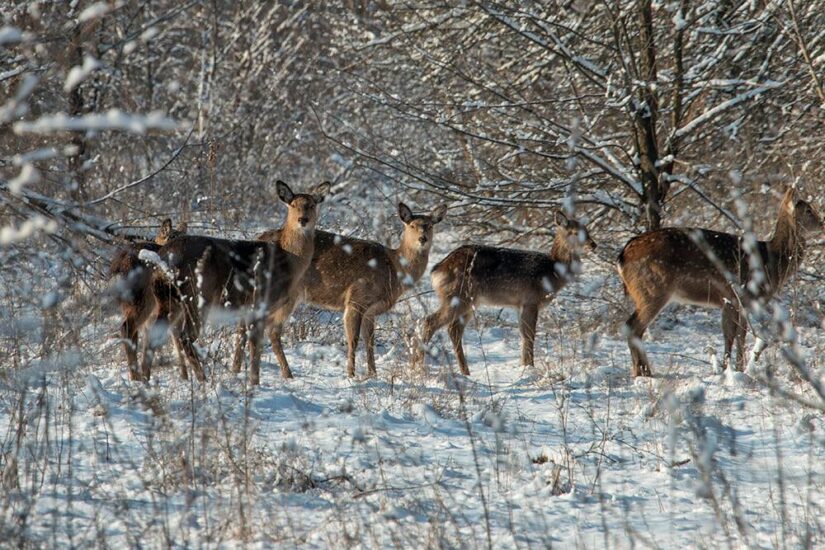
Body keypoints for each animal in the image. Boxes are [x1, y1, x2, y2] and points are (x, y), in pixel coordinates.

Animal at [108, 218, 186, 382]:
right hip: (144, 301)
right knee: (126, 328)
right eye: (172, 237)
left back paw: (137, 376)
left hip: (132, 305)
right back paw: (135, 378)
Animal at [148, 181, 328, 384]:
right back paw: (203, 379)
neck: (288, 259)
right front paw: (254, 383)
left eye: (311, 205)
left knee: (153, 334)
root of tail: (163, 257)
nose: (302, 219)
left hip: (166, 298)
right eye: (293, 205)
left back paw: (143, 379)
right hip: (196, 295)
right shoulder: (259, 303)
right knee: (185, 336)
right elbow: (255, 347)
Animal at [241, 203, 448, 380]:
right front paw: (351, 374)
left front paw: (372, 374)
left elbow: (370, 341)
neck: (393, 268)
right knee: (269, 329)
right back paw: (284, 373)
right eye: (412, 225)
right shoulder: (356, 297)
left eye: (430, 225)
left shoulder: (371, 309)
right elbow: (353, 339)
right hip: (282, 292)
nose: (422, 239)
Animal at [418, 209, 592, 378]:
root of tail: (436, 271)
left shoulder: (520, 305)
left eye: (587, 231)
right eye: (574, 232)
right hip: (457, 297)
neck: (553, 272)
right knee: (430, 322)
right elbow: (530, 335)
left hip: (467, 301)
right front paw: (530, 368)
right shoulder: (531, 300)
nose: (593, 244)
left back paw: (465, 372)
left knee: (453, 330)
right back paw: (421, 367)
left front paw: (524, 366)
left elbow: (523, 334)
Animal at [616, 188, 820, 378]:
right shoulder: (737, 296)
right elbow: (733, 334)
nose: (822, 223)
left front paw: (735, 369)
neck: (772, 260)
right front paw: (731, 369)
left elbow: (737, 334)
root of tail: (622, 256)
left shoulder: (735, 302)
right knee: (633, 326)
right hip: (653, 290)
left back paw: (640, 372)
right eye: (809, 210)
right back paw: (644, 372)